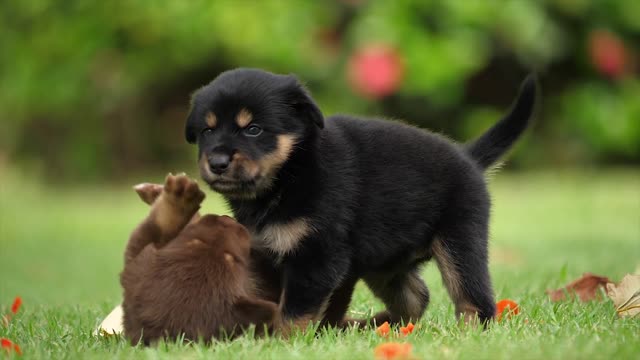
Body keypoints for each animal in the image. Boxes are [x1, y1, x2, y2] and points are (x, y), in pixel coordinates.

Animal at [184, 67, 536, 326]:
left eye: (253, 129)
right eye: (207, 131)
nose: (217, 162)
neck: (291, 172)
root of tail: (468, 157)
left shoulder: (318, 255)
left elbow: (294, 313)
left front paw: (282, 341)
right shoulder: (265, 255)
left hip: (460, 242)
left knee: (475, 300)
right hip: (384, 264)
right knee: (417, 295)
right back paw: (381, 323)